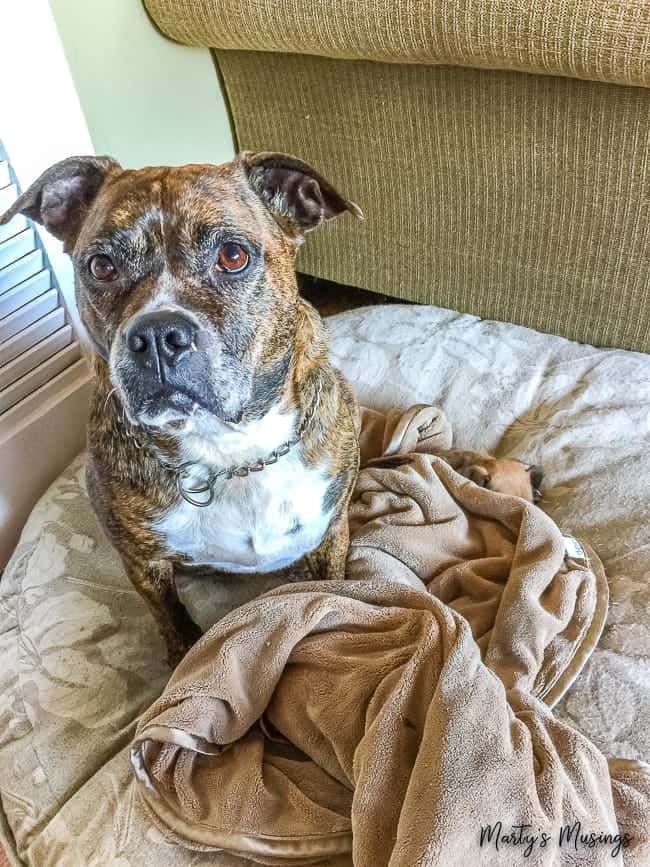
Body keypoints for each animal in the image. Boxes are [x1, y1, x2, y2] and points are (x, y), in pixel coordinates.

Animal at [0, 154, 536, 664]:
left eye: (233, 255)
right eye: (101, 266)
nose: (156, 334)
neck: (230, 451)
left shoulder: (330, 531)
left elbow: (336, 590)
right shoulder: (141, 562)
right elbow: (172, 619)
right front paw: (181, 658)